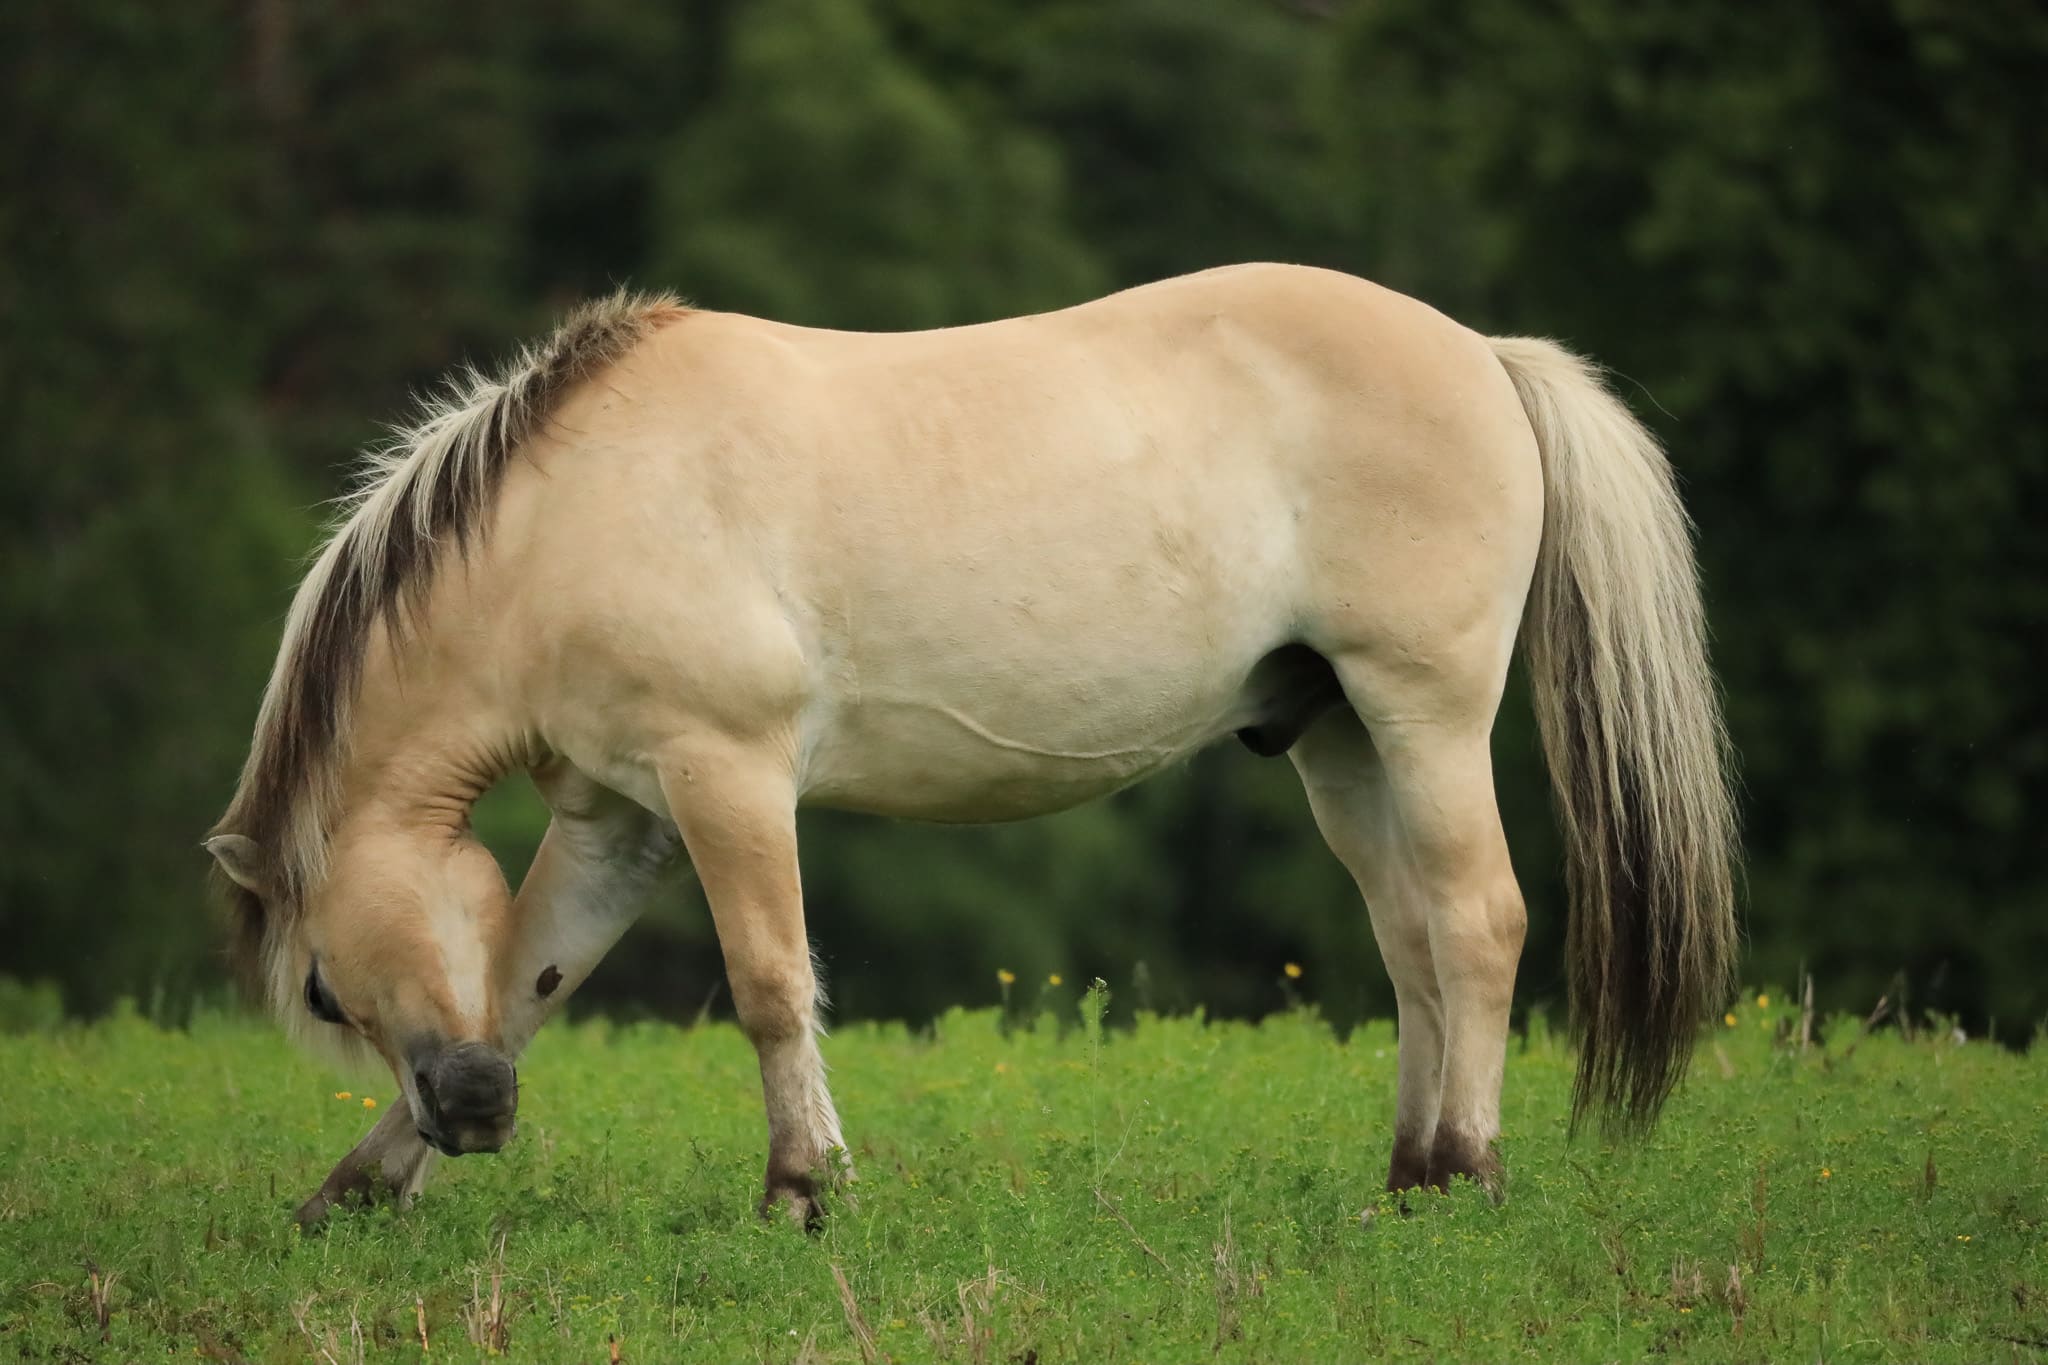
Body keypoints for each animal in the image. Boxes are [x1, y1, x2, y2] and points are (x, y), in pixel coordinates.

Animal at [206, 263, 1736, 1227]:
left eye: (321, 987)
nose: (469, 1114)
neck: (582, 510)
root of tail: (1483, 353)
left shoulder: (725, 776)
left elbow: (771, 986)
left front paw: (803, 1190)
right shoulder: (617, 820)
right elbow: (531, 979)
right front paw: (350, 1192)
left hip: (1423, 713)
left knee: (1478, 923)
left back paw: (1467, 1173)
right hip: (1339, 739)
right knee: (1413, 941)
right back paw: (1409, 1176)